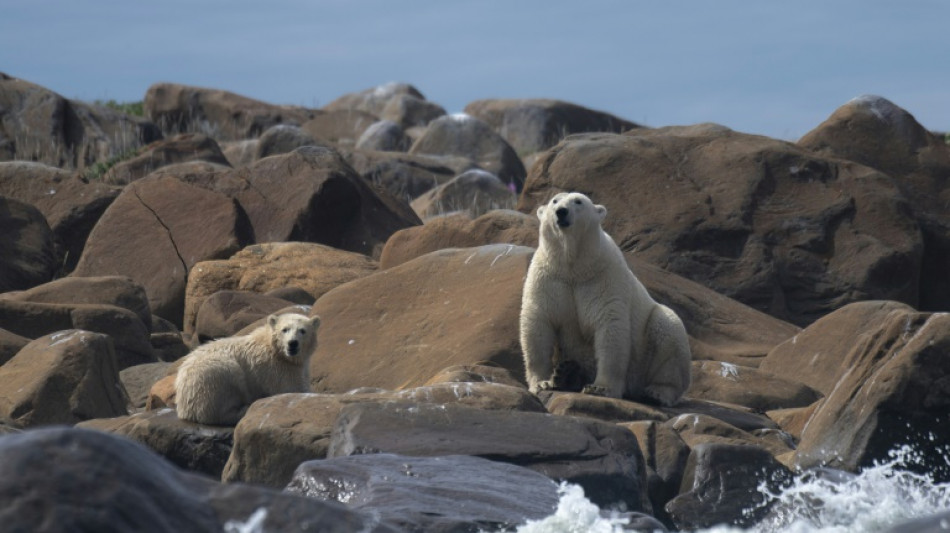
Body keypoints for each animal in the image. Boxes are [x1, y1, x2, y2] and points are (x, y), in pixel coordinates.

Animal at [178, 312, 324, 424]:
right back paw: (243, 410)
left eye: (302, 330)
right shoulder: (276, 369)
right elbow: (293, 389)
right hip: (212, 376)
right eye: (285, 329)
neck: (274, 348)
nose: (292, 343)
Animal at [520, 193, 692, 406]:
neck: (574, 266)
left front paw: (600, 388)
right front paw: (542, 382)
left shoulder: (604, 277)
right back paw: (566, 374)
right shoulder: (549, 278)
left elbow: (610, 326)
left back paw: (657, 393)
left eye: (578, 201)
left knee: (668, 333)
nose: (561, 212)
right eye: (555, 201)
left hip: (647, 347)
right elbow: (538, 323)